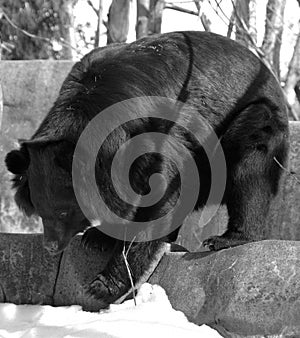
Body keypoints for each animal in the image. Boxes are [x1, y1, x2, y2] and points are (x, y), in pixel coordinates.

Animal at [5, 31, 290, 304]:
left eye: (64, 212)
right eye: (40, 210)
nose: (51, 247)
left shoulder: (159, 132)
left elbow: (160, 195)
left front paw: (104, 286)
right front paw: (97, 238)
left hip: (255, 118)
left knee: (249, 170)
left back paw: (226, 239)